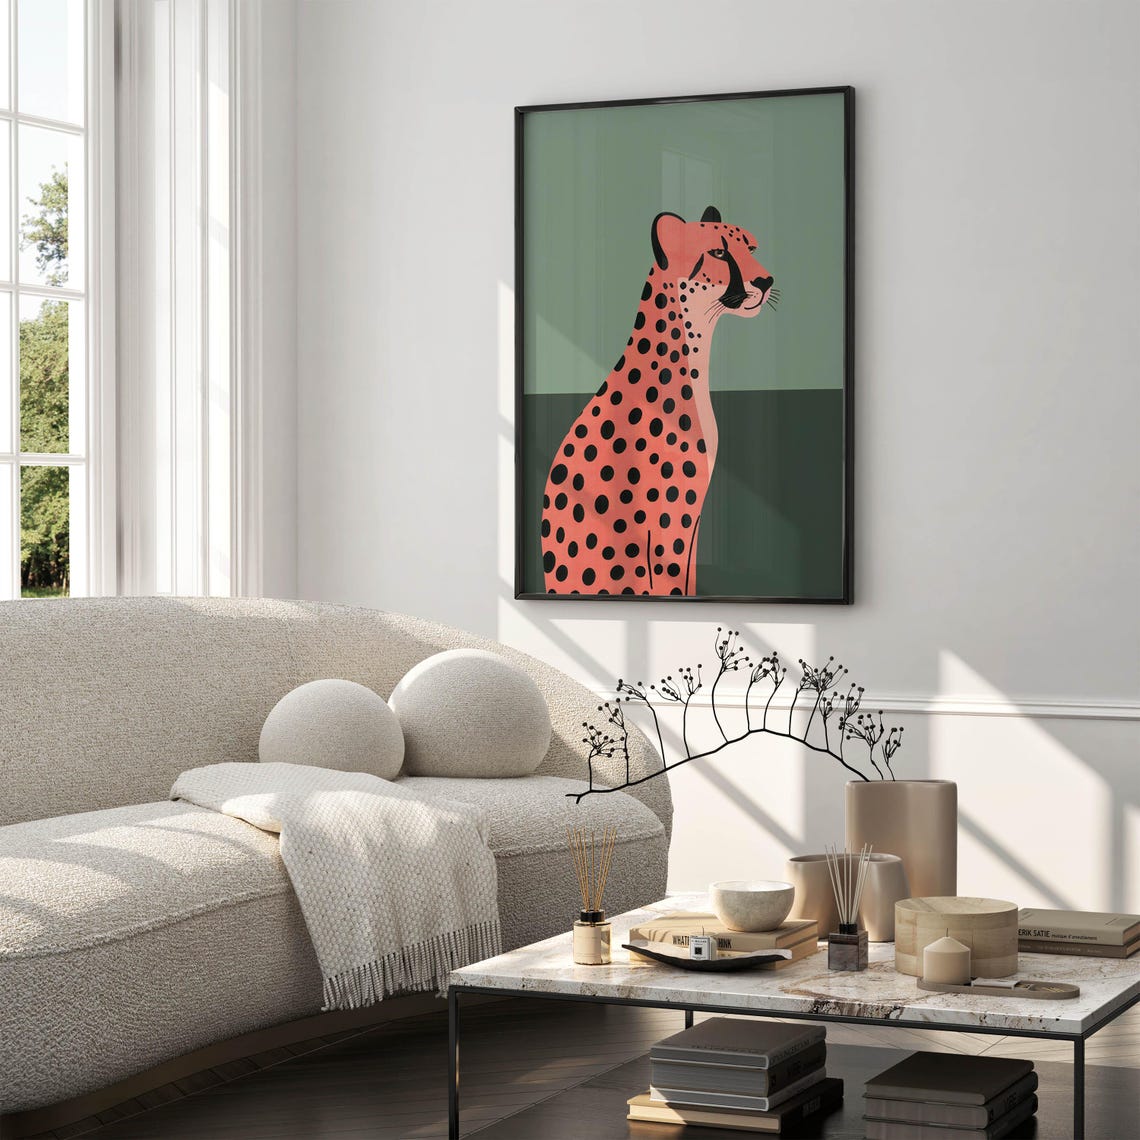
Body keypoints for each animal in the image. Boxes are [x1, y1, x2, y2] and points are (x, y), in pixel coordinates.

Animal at [540, 205, 774, 595]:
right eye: (719, 253)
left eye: (751, 249)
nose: (766, 281)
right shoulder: (671, 519)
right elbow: (673, 580)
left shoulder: (693, 520)